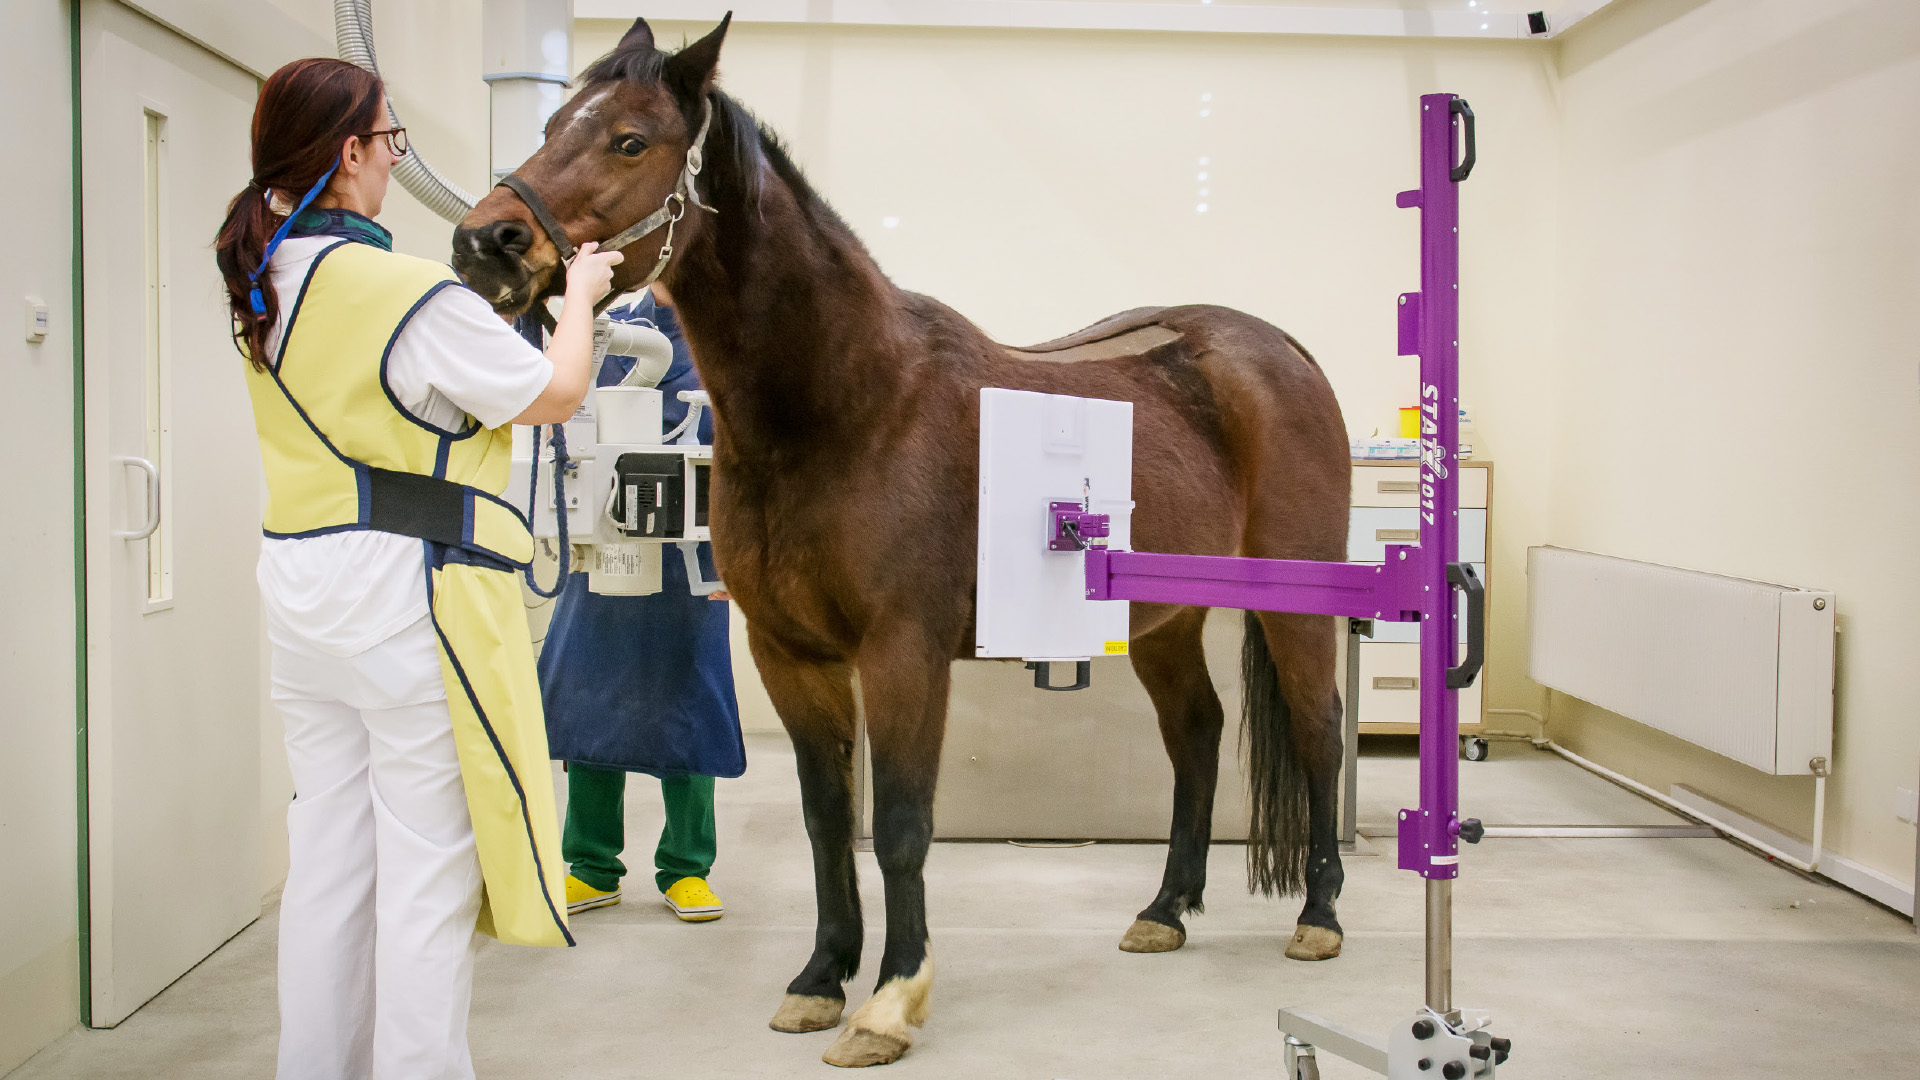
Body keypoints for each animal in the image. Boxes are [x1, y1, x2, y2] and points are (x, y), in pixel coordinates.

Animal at [453, 16, 1351, 1068]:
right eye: (553, 124)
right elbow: (827, 819)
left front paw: (890, 1000)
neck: (852, 402)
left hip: (1298, 602)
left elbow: (902, 825)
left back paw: (1320, 917)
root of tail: (1278, 351)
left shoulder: (903, 654)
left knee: (1318, 732)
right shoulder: (791, 656)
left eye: (630, 140)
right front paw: (818, 979)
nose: (484, 241)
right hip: (1162, 620)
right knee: (1198, 735)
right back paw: (1165, 910)